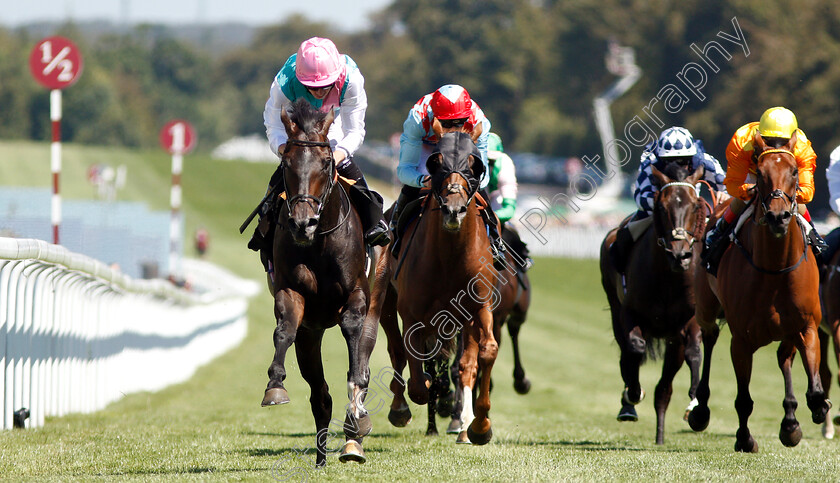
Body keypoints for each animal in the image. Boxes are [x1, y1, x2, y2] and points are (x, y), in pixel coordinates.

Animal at [260, 98, 378, 466]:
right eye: (287, 162)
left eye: (326, 163)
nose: (303, 223)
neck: (319, 242)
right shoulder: (292, 293)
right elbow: (283, 330)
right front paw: (275, 386)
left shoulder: (357, 294)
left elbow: (354, 340)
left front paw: (356, 410)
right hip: (310, 336)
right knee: (320, 396)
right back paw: (322, 457)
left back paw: (354, 436)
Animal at [372, 123, 502, 444]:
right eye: (435, 162)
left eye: (475, 163)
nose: (454, 209)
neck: (449, 256)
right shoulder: (411, 312)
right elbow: (417, 378)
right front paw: (428, 390)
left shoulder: (479, 306)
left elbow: (486, 351)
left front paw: (480, 425)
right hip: (386, 300)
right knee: (397, 351)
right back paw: (401, 408)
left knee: (465, 362)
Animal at [596, 164, 708, 444]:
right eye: (661, 206)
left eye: (695, 205)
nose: (680, 255)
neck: (668, 277)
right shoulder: (629, 312)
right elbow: (634, 349)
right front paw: (632, 394)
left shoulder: (687, 321)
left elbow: (693, 352)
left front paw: (695, 406)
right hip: (615, 308)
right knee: (627, 353)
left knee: (665, 387)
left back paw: (661, 433)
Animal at [684, 130, 832, 452]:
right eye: (761, 174)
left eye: (794, 171)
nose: (778, 216)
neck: (774, 269)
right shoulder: (741, 338)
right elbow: (743, 399)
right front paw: (744, 438)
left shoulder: (806, 326)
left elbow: (814, 385)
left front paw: (813, 409)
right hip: (706, 309)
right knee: (709, 339)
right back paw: (700, 410)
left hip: (786, 331)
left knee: (784, 358)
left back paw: (790, 423)